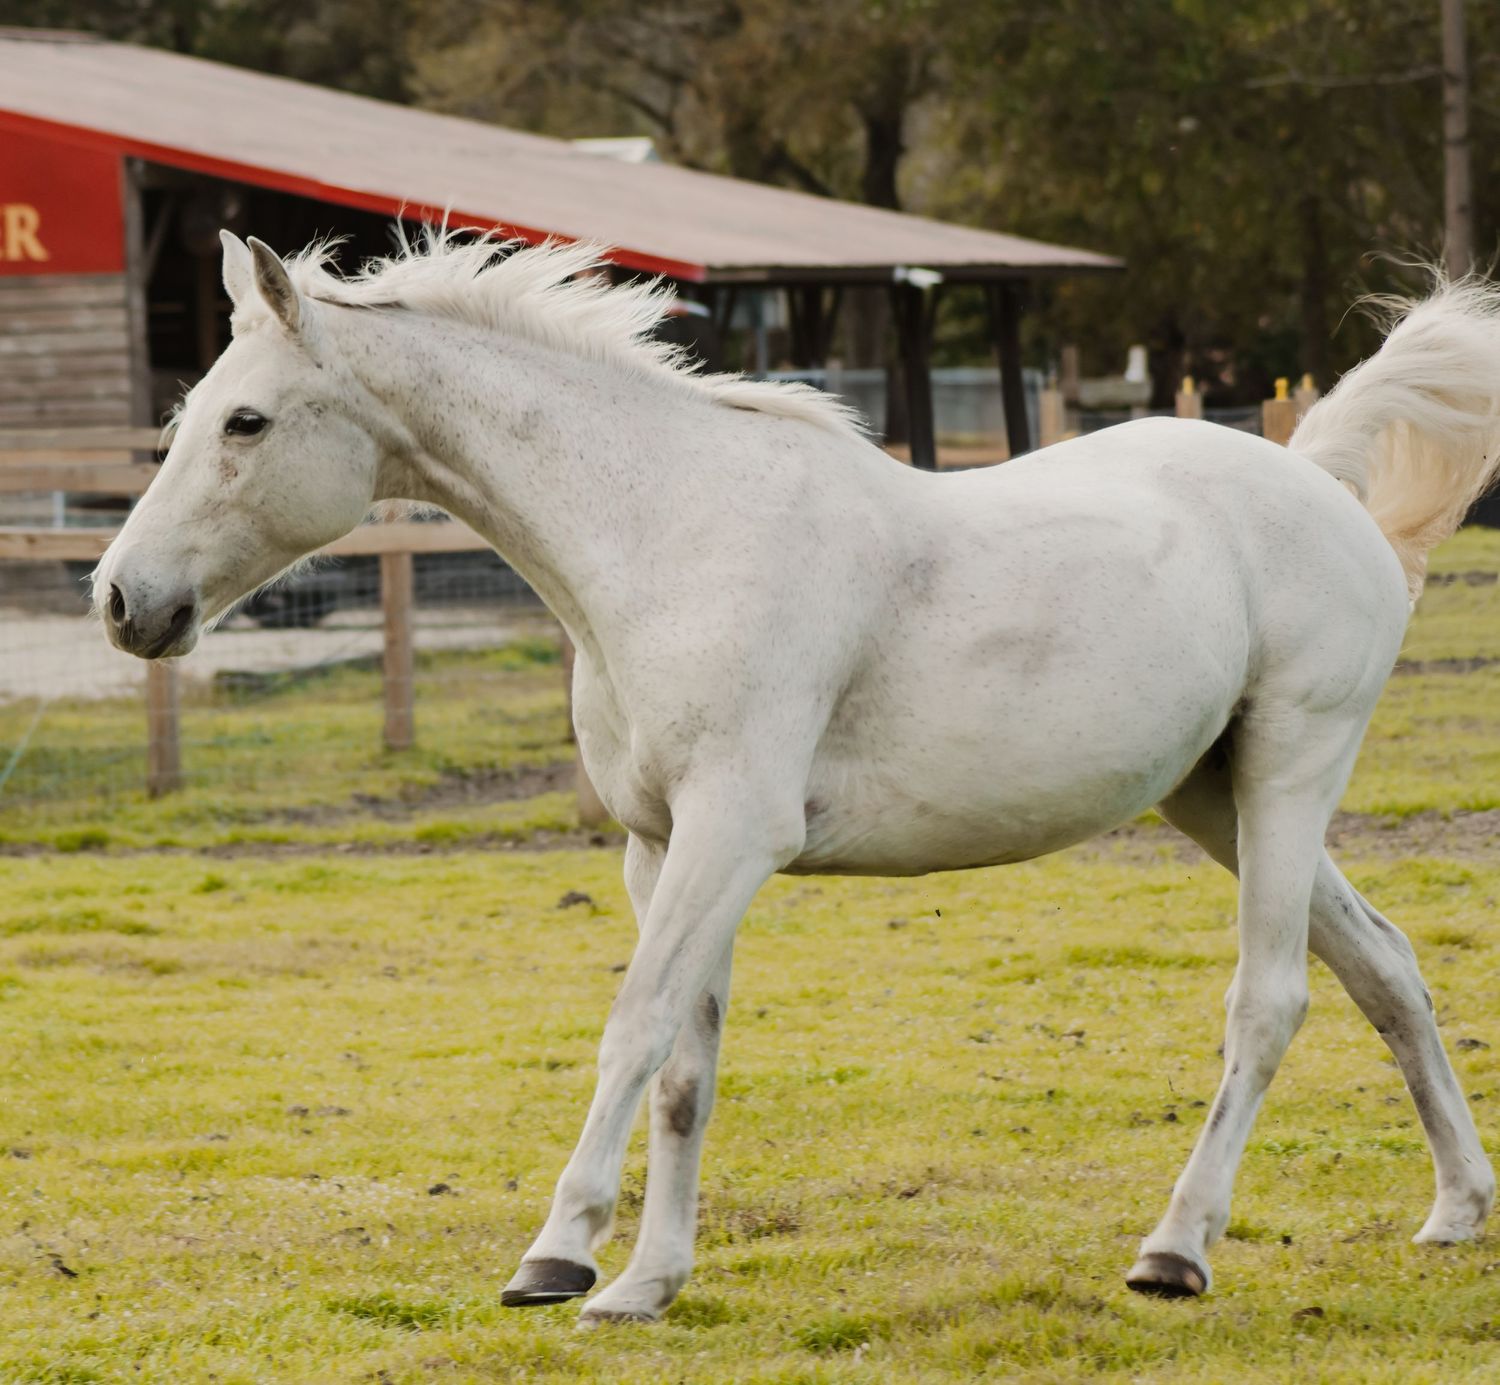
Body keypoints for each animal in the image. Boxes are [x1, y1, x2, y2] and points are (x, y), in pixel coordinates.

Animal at [93, 229, 1499, 1324]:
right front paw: (645, 1283)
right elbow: (683, 1065)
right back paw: (1455, 1209)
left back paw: (1175, 1249)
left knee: (1269, 1000)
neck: (667, 532)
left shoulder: (733, 832)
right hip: (1212, 795)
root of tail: (1318, 482)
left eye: (245, 420)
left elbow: (633, 1026)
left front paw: (557, 1256)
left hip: (1288, 773)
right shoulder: (661, 847)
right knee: (1384, 965)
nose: (121, 599)